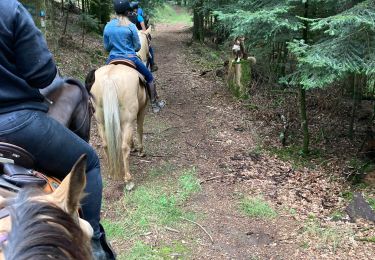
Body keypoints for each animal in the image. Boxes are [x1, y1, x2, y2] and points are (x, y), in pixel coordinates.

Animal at [87, 29, 152, 190]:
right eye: (149, 39)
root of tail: (110, 78)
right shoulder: (142, 110)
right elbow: (140, 129)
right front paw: (140, 150)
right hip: (127, 119)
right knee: (123, 147)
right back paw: (128, 180)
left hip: (101, 120)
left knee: (105, 144)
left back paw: (111, 172)